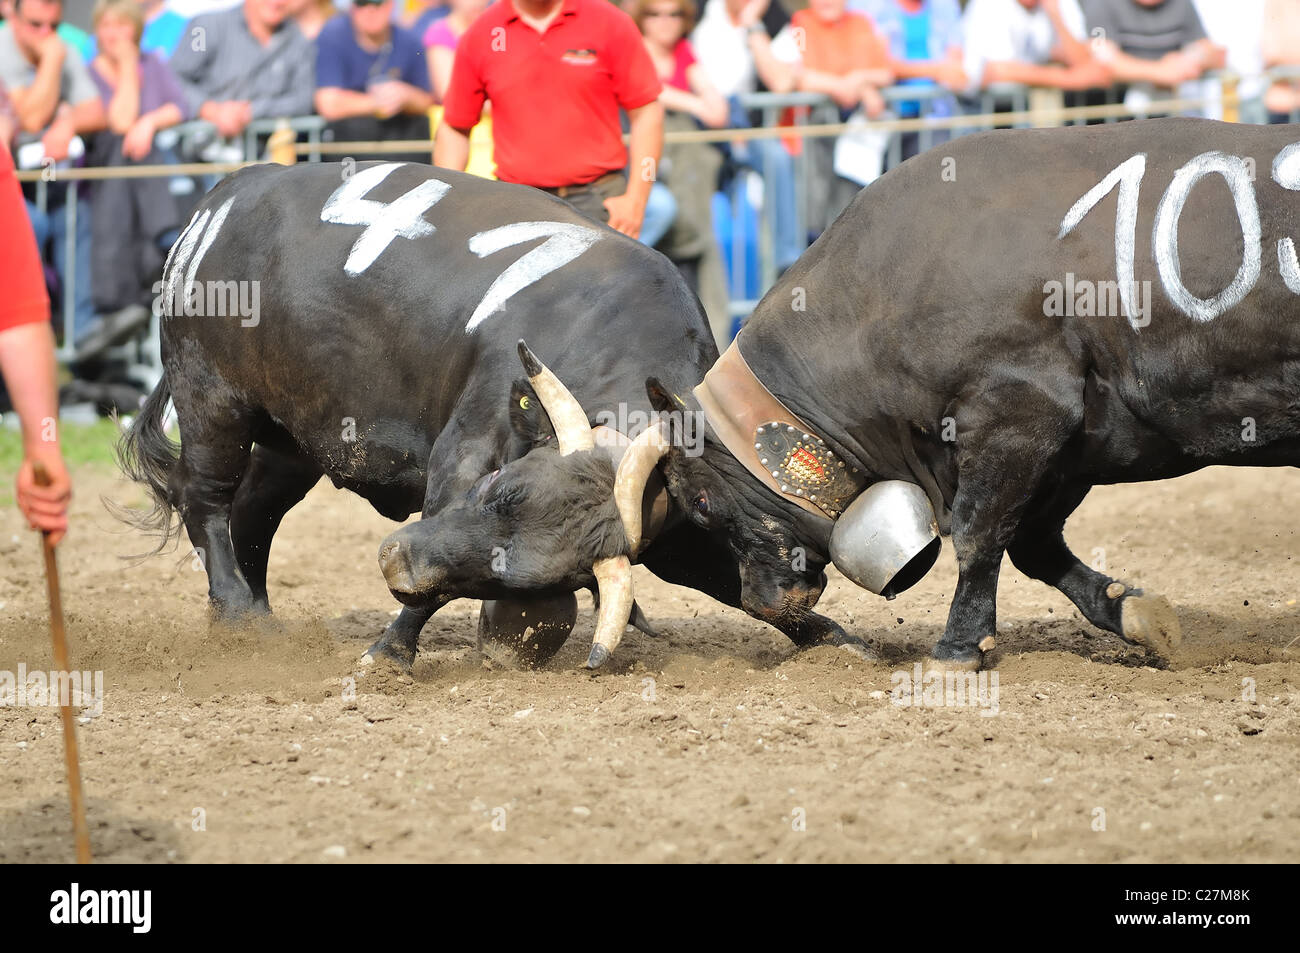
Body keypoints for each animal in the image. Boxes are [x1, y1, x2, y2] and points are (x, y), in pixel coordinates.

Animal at [119, 159, 821, 665]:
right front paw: (391, 650)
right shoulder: (465, 445)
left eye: (515, 581)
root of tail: (223, 196)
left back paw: (248, 616)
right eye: (498, 491)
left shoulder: (673, 529)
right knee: (205, 501)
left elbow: (745, 592)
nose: (395, 562)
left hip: (290, 440)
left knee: (252, 514)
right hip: (213, 399)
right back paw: (239, 614)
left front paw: (828, 640)